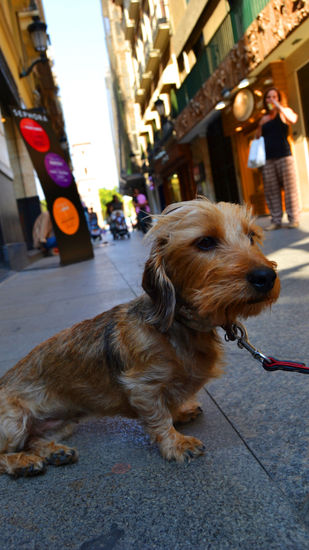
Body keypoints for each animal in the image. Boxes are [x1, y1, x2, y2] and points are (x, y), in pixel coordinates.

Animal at [0, 201, 280, 476]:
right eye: (205, 242)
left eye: (251, 236)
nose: (266, 276)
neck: (178, 327)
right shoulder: (142, 387)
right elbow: (159, 418)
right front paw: (176, 444)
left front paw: (181, 411)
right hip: (14, 421)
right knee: (5, 454)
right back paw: (23, 462)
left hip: (62, 423)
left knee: (34, 439)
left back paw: (53, 452)